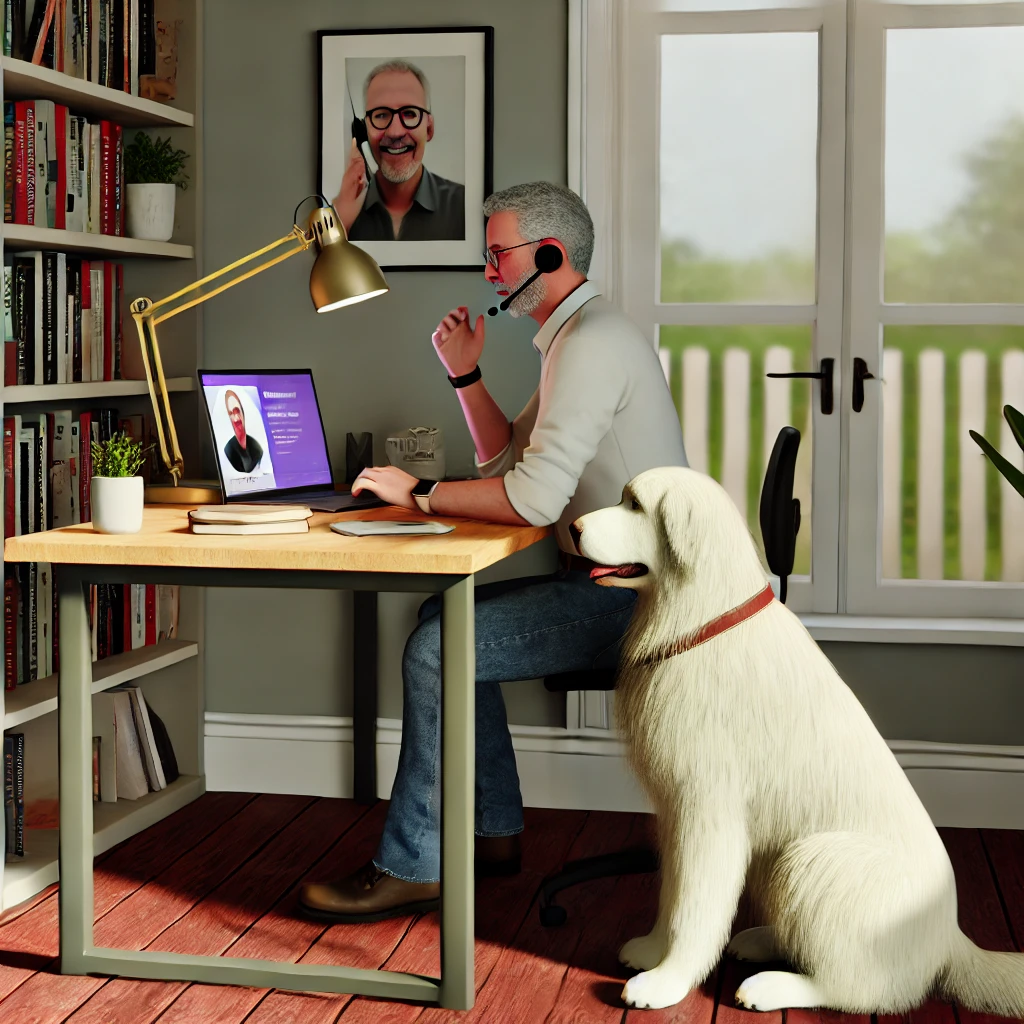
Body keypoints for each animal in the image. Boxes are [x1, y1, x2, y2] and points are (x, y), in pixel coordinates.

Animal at [573, 466, 1024, 1015]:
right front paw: (651, 951)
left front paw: (665, 983)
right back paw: (759, 940)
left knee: (858, 989)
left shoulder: (708, 813)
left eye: (635, 505)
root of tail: (949, 939)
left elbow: (694, 908)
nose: (572, 527)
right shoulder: (675, 815)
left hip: (808, 860)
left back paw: (768, 986)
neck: (700, 620)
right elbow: (670, 896)